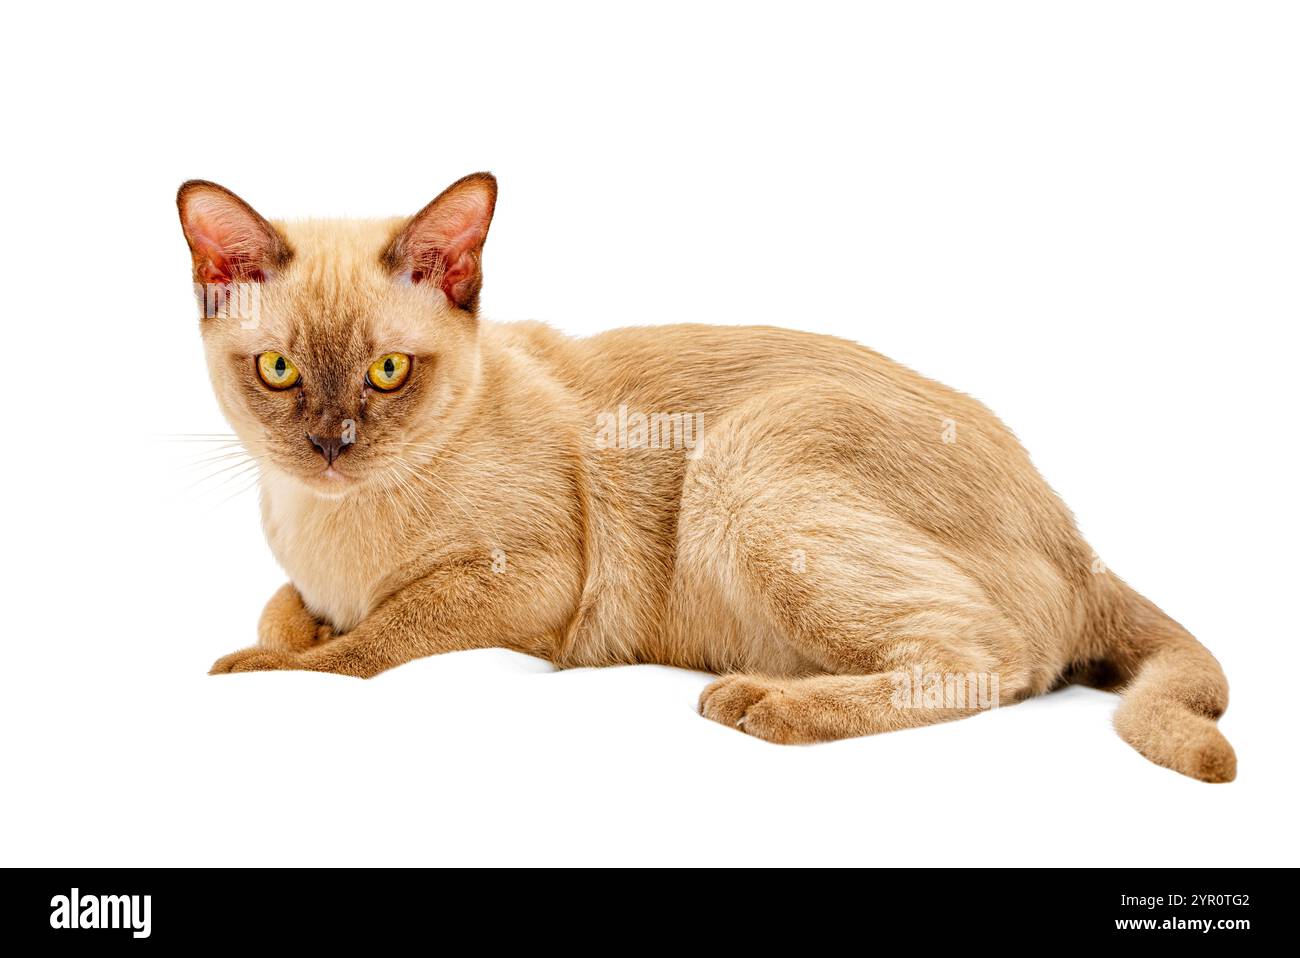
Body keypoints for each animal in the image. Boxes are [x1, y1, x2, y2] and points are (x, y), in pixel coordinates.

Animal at [175, 174, 1237, 779]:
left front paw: (254, 669)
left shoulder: (521, 584)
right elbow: (287, 614)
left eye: (389, 372)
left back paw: (758, 705)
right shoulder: (304, 580)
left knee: (988, 662)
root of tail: (1080, 540)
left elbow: (363, 646)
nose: (332, 447)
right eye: (280, 371)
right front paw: (283, 638)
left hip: (743, 458)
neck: (329, 527)